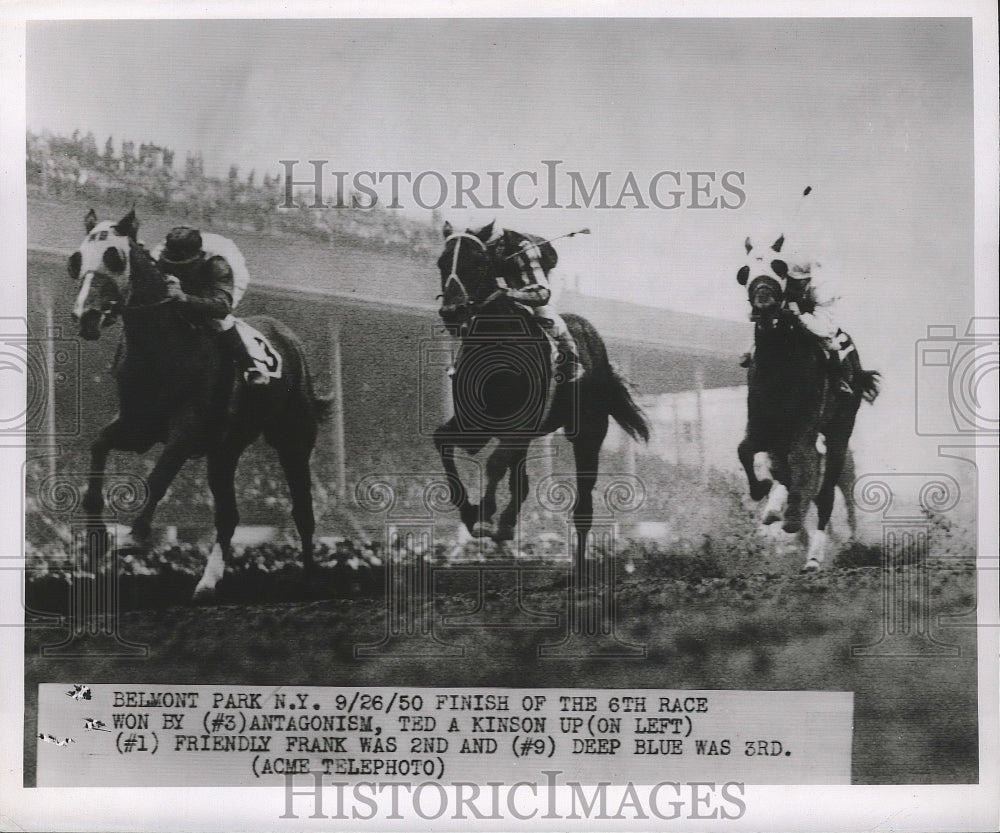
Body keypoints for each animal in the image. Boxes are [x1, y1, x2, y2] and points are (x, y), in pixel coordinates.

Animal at [67, 208, 332, 600]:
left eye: (114, 258)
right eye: (78, 260)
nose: (85, 316)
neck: (161, 345)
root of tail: (289, 337)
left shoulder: (186, 430)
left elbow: (158, 475)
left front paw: (133, 537)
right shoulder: (137, 425)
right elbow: (99, 447)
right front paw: (96, 538)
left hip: (293, 440)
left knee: (302, 510)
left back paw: (310, 579)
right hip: (225, 450)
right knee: (228, 515)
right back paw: (207, 583)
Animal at [434, 221, 652, 572]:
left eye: (476, 262)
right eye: (442, 263)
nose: (452, 312)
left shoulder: (519, 425)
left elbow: (495, 463)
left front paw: (485, 516)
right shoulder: (475, 423)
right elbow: (442, 439)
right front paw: (471, 513)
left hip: (589, 434)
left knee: (583, 507)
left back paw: (577, 565)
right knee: (520, 482)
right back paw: (507, 525)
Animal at [736, 237, 876, 568]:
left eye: (778, 267)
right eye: (744, 272)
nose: (764, 303)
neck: (779, 364)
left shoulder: (804, 425)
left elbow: (803, 464)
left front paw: (791, 517)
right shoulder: (762, 423)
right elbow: (746, 450)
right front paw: (766, 494)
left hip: (840, 433)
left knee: (825, 494)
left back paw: (815, 556)